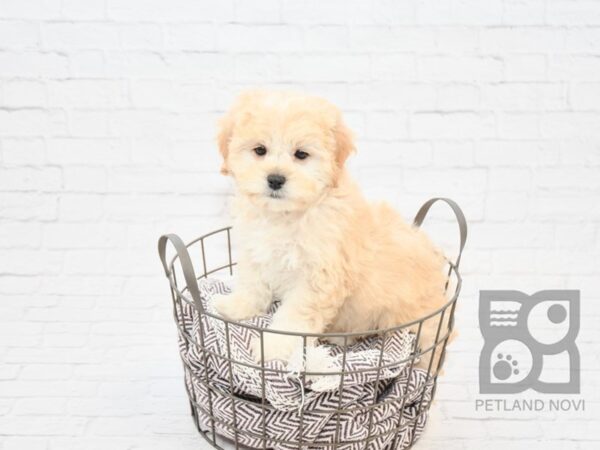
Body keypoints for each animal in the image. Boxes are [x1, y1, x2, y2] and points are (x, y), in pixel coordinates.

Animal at [211, 89, 450, 368]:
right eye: (260, 150)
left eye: (301, 154)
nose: (275, 179)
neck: (285, 216)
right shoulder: (256, 252)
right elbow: (252, 285)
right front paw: (236, 306)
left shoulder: (316, 279)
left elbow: (293, 319)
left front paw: (273, 347)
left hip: (419, 325)